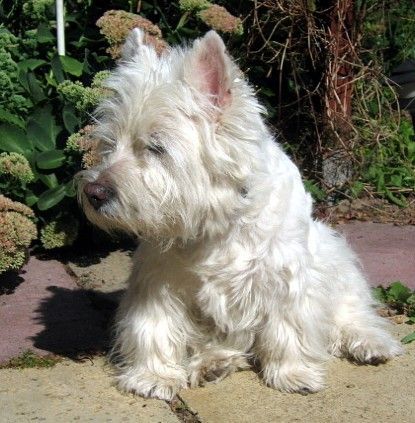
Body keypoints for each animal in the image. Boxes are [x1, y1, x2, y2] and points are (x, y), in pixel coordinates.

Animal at [77, 29, 404, 400]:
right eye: (109, 143)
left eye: (156, 147)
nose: (93, 193)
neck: (216, 224)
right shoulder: (158, 279)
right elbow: (155, 324)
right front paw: (153, 376)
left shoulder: (285, 277)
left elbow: (288, 325)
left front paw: (292, 373)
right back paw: (214, 363)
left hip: (335, 257)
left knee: (352, 312)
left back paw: (371, 343)